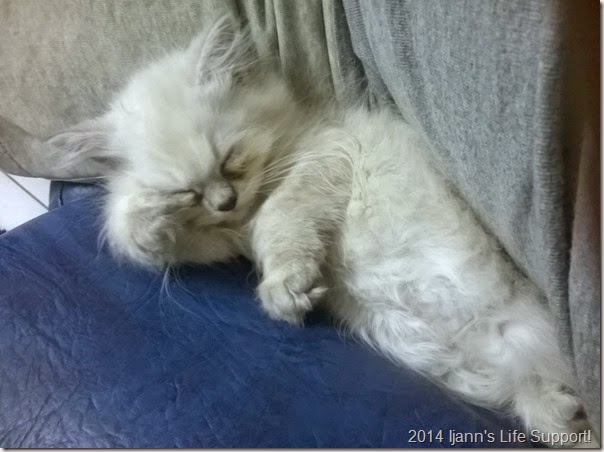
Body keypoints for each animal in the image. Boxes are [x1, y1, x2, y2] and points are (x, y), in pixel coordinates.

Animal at [48, 16, 593, 446]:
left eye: (231, 161)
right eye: (188, 193)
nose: (226, 202)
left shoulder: (324, 161)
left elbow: (280, 221)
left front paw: (285, 289)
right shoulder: (228, 239)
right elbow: (162, 237)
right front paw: (146, 216)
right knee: (540, 401)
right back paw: (561, 415)